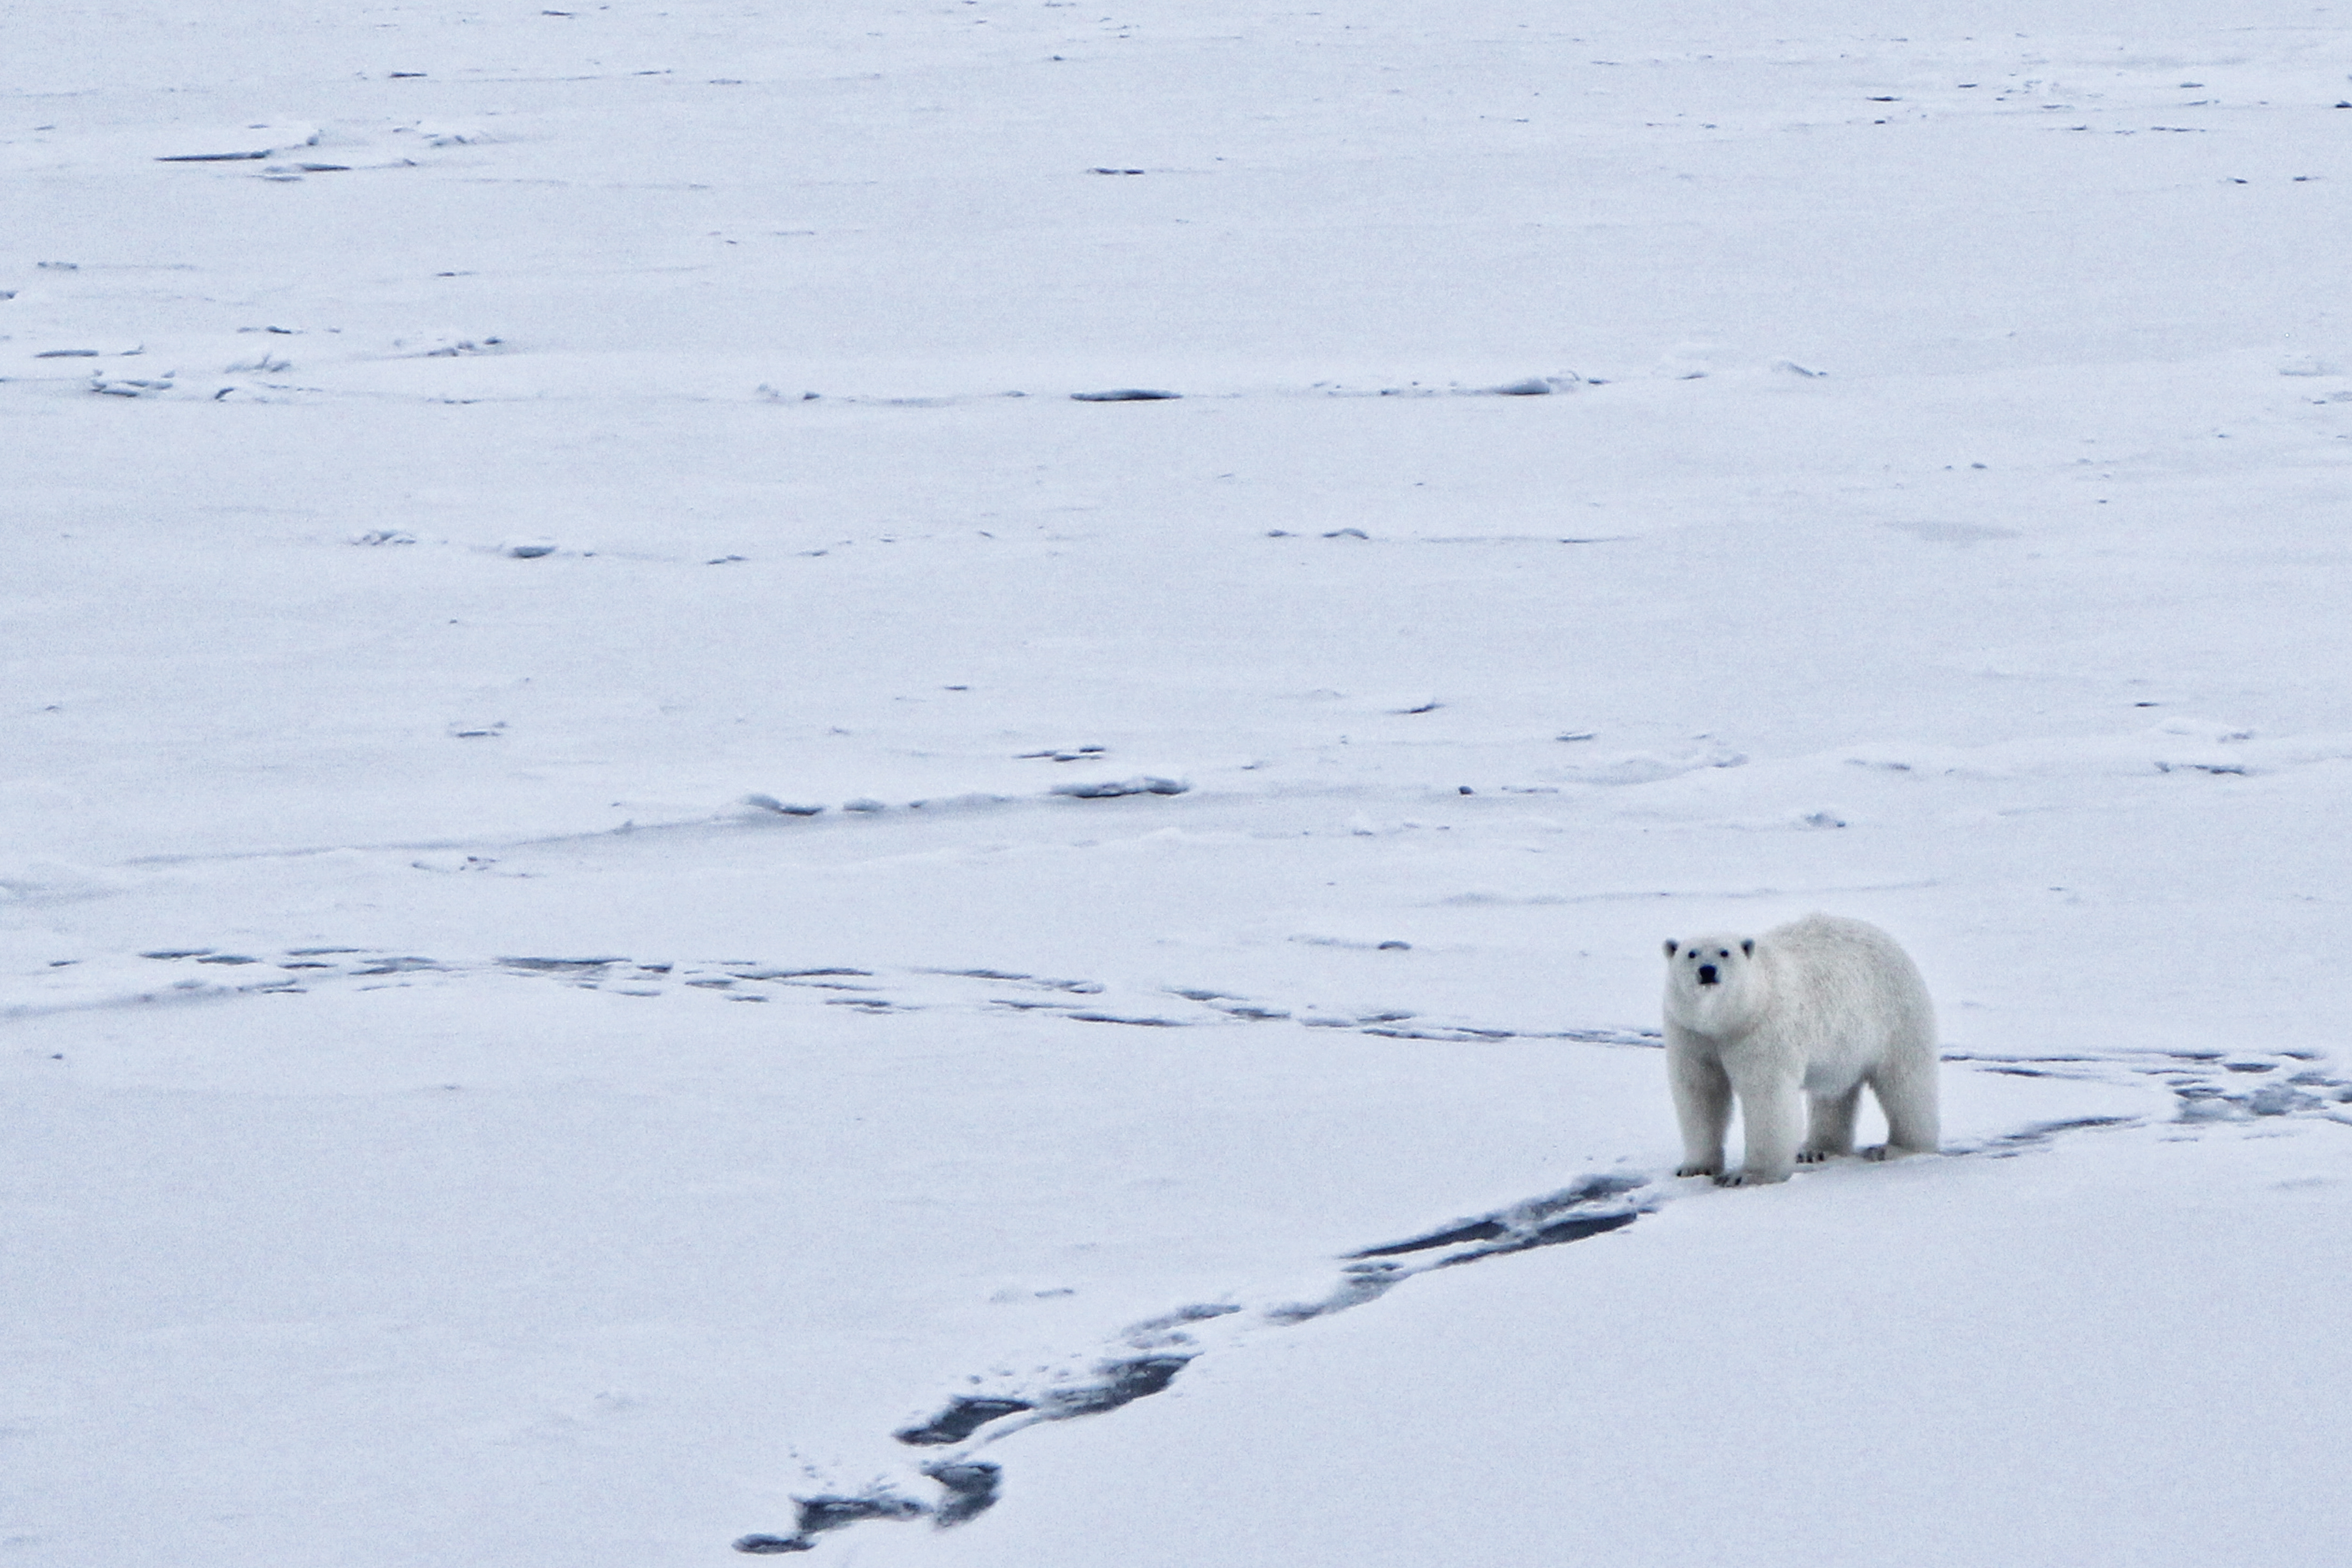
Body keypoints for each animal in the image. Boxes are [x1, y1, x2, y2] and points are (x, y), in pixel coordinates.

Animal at [1662, 913, 1939, 1187]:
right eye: (1691, 954)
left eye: (1725, 953)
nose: (1707, 971)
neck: (1728, 1020)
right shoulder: (1691, 1033)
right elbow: (1701, 1091)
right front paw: (1695, 1167)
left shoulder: (1761, 1029)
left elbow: (1765, 1094)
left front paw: (1747, 1176)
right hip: (1843, 1044)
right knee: (1833, 1092)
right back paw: (1817, 1149)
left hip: (1895, 1017)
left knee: (1905, 1083)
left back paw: (1896, 1148)